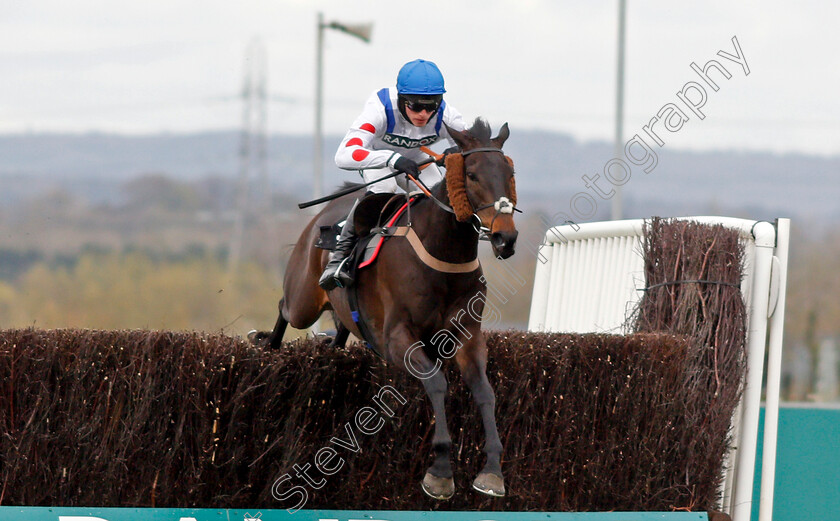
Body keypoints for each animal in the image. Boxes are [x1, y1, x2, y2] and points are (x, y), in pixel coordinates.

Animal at [253, 119, 520, 500]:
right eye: (471, 174)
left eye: (510, 172)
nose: (504, 238)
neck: (443, 255)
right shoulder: (397, 338)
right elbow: (437, 383)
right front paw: (440, 471)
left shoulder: (468, 336)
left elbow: (485, 392)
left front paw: (492, 471)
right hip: (304, 298)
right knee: (285, 308)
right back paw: (268, 343)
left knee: (340, 329)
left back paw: (328, 342)